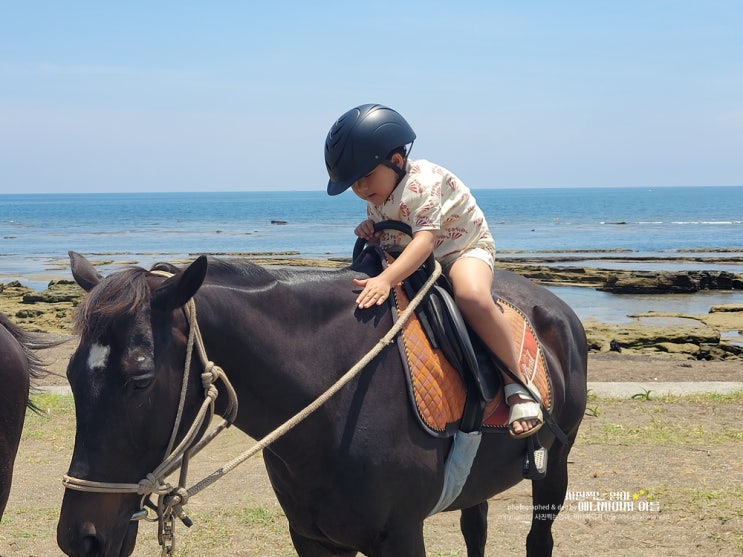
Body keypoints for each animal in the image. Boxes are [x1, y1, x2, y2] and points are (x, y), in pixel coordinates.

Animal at [58, 253, 588, 556]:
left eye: (140, 380)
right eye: (70, 375)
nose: (77, 538)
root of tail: (556, 308)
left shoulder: (401, 536)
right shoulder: (313, 538)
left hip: (556, 468)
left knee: (539, 539)